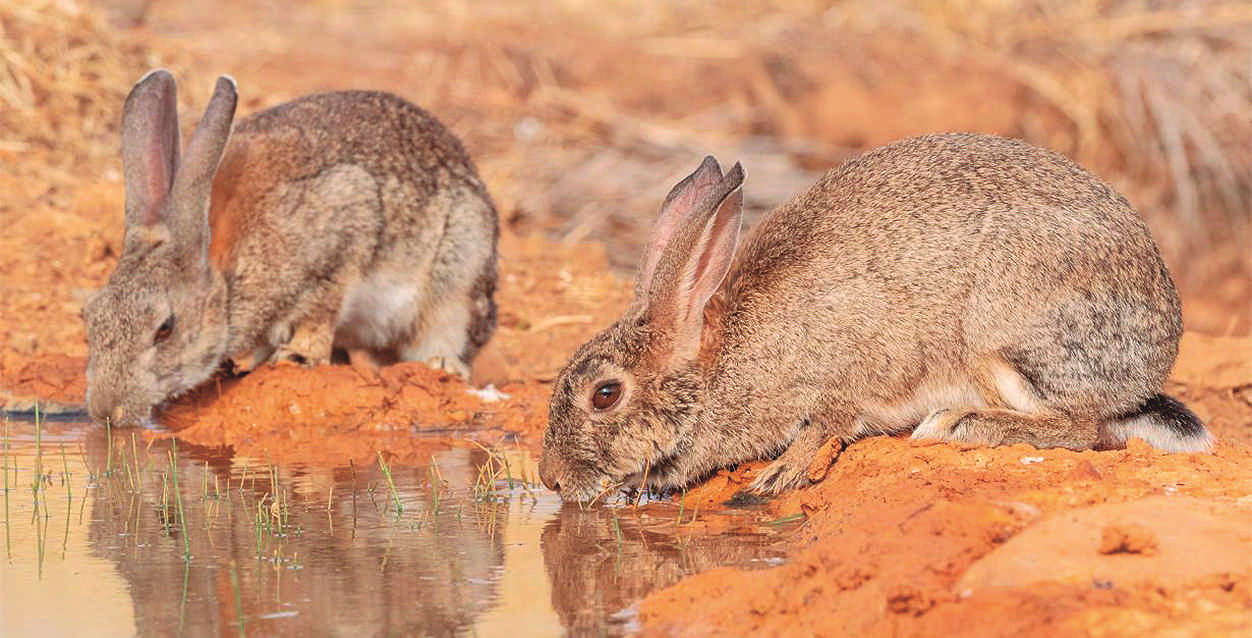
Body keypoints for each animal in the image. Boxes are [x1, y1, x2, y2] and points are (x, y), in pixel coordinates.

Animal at [83, 69, 498, 427]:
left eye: (165, 329)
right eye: (89, 317)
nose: (106, 411)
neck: (226, 276)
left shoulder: (343, 234)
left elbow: (318, 314)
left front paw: (297, 357)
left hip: (459, 269)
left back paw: (441, 364)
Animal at [538, 132, 1213, 503]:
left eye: (605, 395)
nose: (548, 481)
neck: (720, 364)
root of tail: (1151, 361)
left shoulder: (843, 373)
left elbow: (824, 425)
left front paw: (776, 476)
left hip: (999, 338)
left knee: (1081, 428)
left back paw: (960, 425)